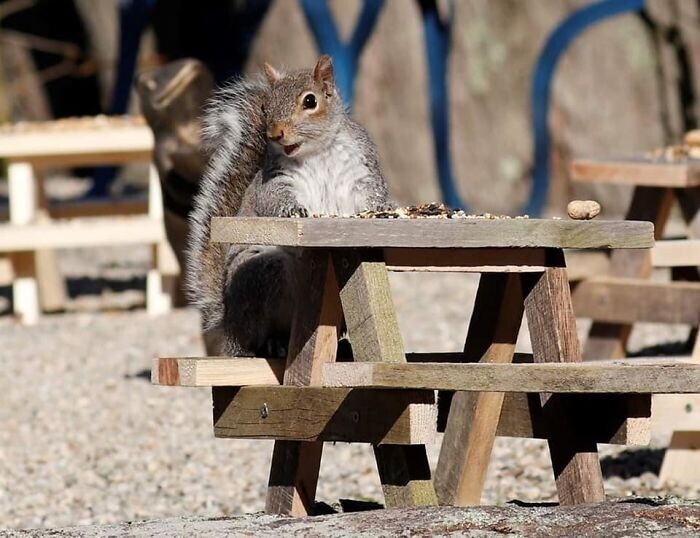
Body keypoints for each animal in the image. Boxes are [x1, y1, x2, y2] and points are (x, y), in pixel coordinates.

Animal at [186, 55, 394, 356]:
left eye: (310, 101)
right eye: (265, 107)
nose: (274, 133)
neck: (317, 151)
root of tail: (227, 320)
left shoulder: (362, 171)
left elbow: (372, 193)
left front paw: (383, 208)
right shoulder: (274, 179)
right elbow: (273, 198)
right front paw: (292, 210)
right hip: (259, 273)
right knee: (253, 336)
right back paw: (261, 346)